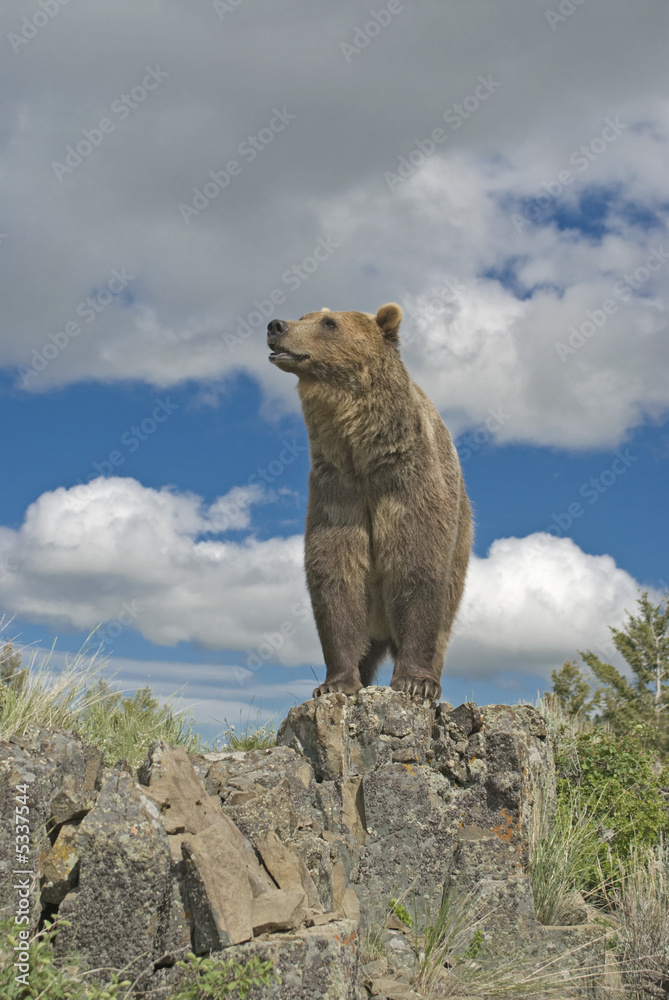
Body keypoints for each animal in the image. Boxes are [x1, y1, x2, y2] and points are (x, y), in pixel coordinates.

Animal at [267, 303, 472, 701]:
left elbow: (417, 565)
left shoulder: (408, 484)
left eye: (329, 323)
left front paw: (415, 681)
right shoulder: (337, 491)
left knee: (445, 614)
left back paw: (433, 678)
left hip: (462, 543)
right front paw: (336, 682)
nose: (276, 326)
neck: (361, 453)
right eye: (305, 315)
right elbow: (336, 575)